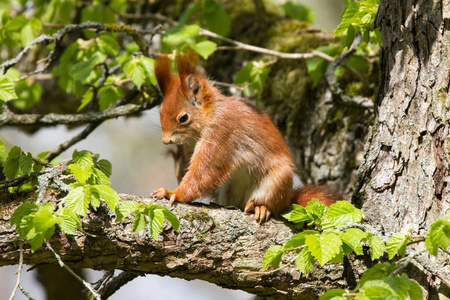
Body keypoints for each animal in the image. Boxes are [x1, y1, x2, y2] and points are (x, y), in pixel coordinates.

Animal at [151, 50, 338, 221]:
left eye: (183, 118)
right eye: (160, 112)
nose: (166, 141)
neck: (210, 114)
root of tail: (288, 200)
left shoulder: (222, 133)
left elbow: (205, 172)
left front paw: (173, 193)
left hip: (277, 182)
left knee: (273, 205)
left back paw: (261, 207)